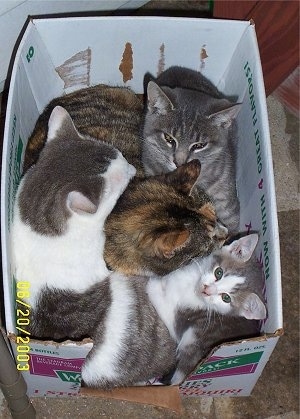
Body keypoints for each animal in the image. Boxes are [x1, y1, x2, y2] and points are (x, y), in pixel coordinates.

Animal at [81, 235, 266, 388]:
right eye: (218, 272)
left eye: (226, 298)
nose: (207, 290)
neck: (191, 288)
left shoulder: (177, 318)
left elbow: (157, 292)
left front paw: (150, 283)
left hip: (193, 341)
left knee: (178, 378)